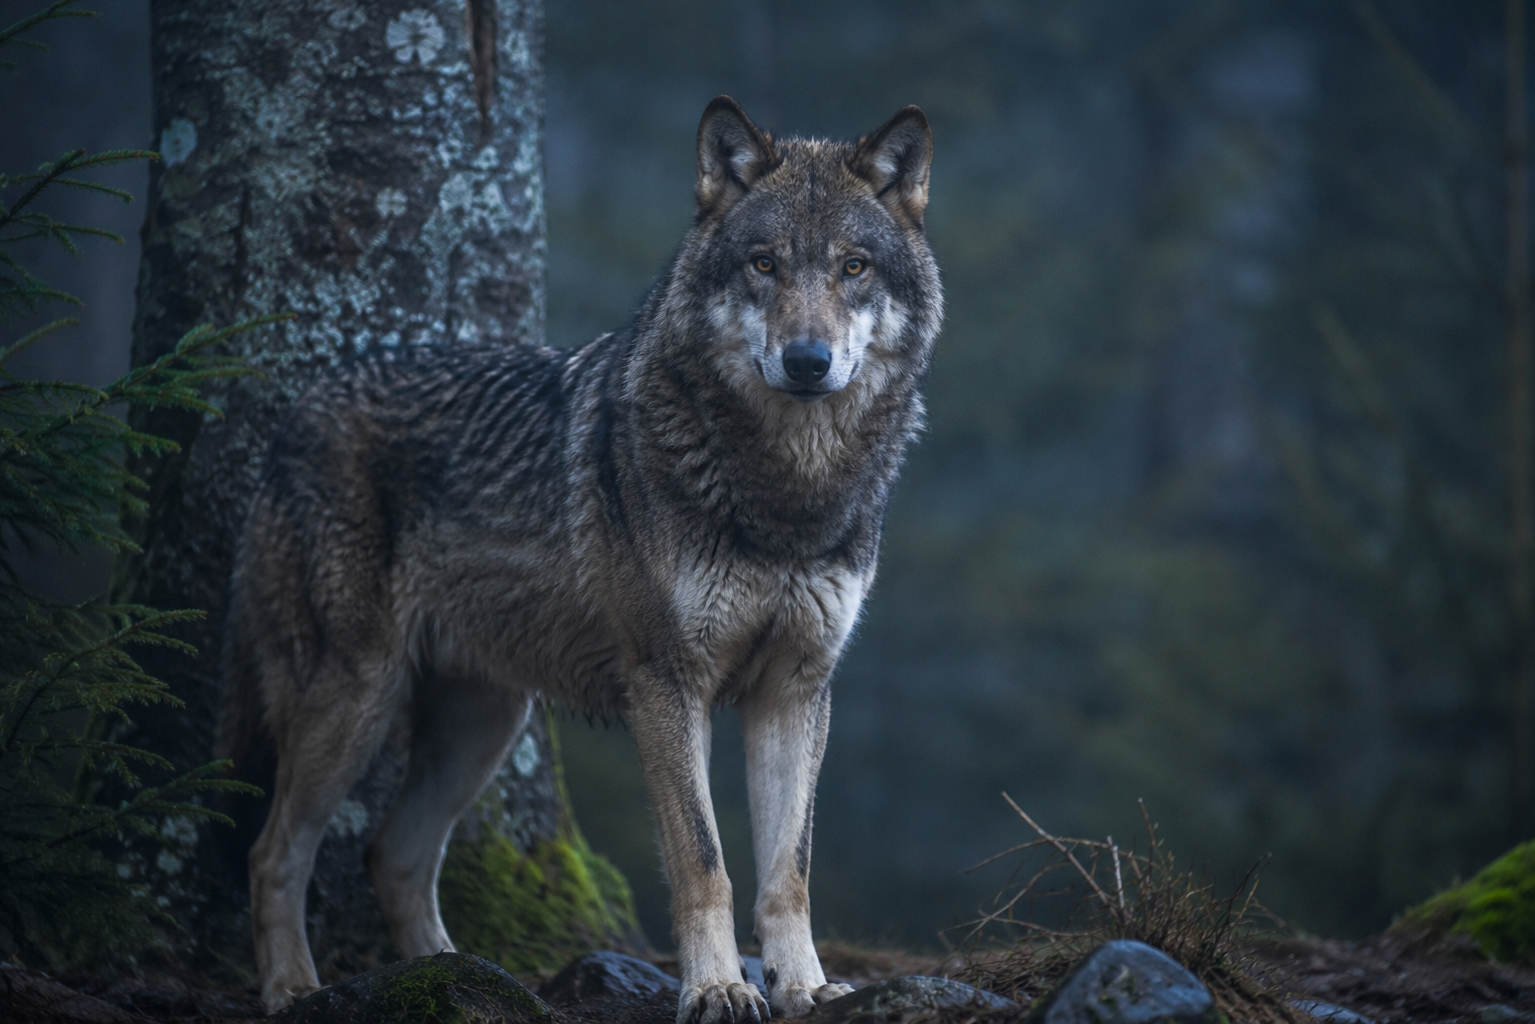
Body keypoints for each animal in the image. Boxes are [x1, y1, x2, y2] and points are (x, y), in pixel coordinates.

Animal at [219, 96, 941, 1022]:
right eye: (764, 265)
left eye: (853, 267)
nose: (807, 361)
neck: (787, 491)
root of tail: (296, 411)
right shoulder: (667, 683)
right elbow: (703, 860)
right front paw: (716, 987)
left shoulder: (795, 689)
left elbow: (789, 870)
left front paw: (806, 987)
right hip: (354, 701)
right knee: (274, 852)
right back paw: (292, 989)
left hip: (483, 723)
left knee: (393, 856)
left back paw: (448, 979)